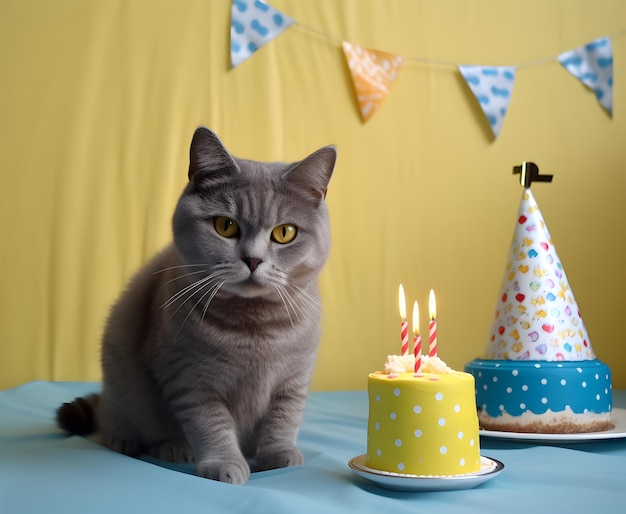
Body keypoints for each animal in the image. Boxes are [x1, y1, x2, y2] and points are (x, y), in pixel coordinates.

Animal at [56, 126, 334, 482]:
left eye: (285, 233)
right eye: (226, 226)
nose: (253, 259)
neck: (254, 327)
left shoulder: (294, 379)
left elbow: (284, 419)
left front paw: (279, 455)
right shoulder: (189, 379)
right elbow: (211, 425)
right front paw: (225, 464)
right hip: (121, 382)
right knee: (119, 422)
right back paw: (150, 444)